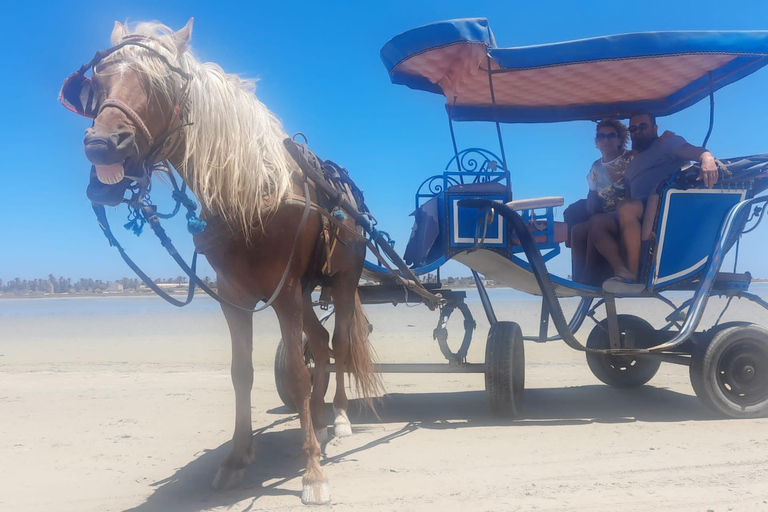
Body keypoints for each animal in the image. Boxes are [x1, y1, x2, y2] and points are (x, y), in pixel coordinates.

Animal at [58, 19, 382, 504]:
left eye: (160, 85)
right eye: (96, 85)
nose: (101, 144)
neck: (251, 195)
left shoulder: (285, 294)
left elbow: (296, 374)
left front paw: (312, 472)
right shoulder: (236, 298)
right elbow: (241, 373)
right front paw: (237, 457)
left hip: (342, 281)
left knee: (340, 343)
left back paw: (340, 418)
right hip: (305, 290)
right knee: (321, 342)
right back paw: (321, 418)